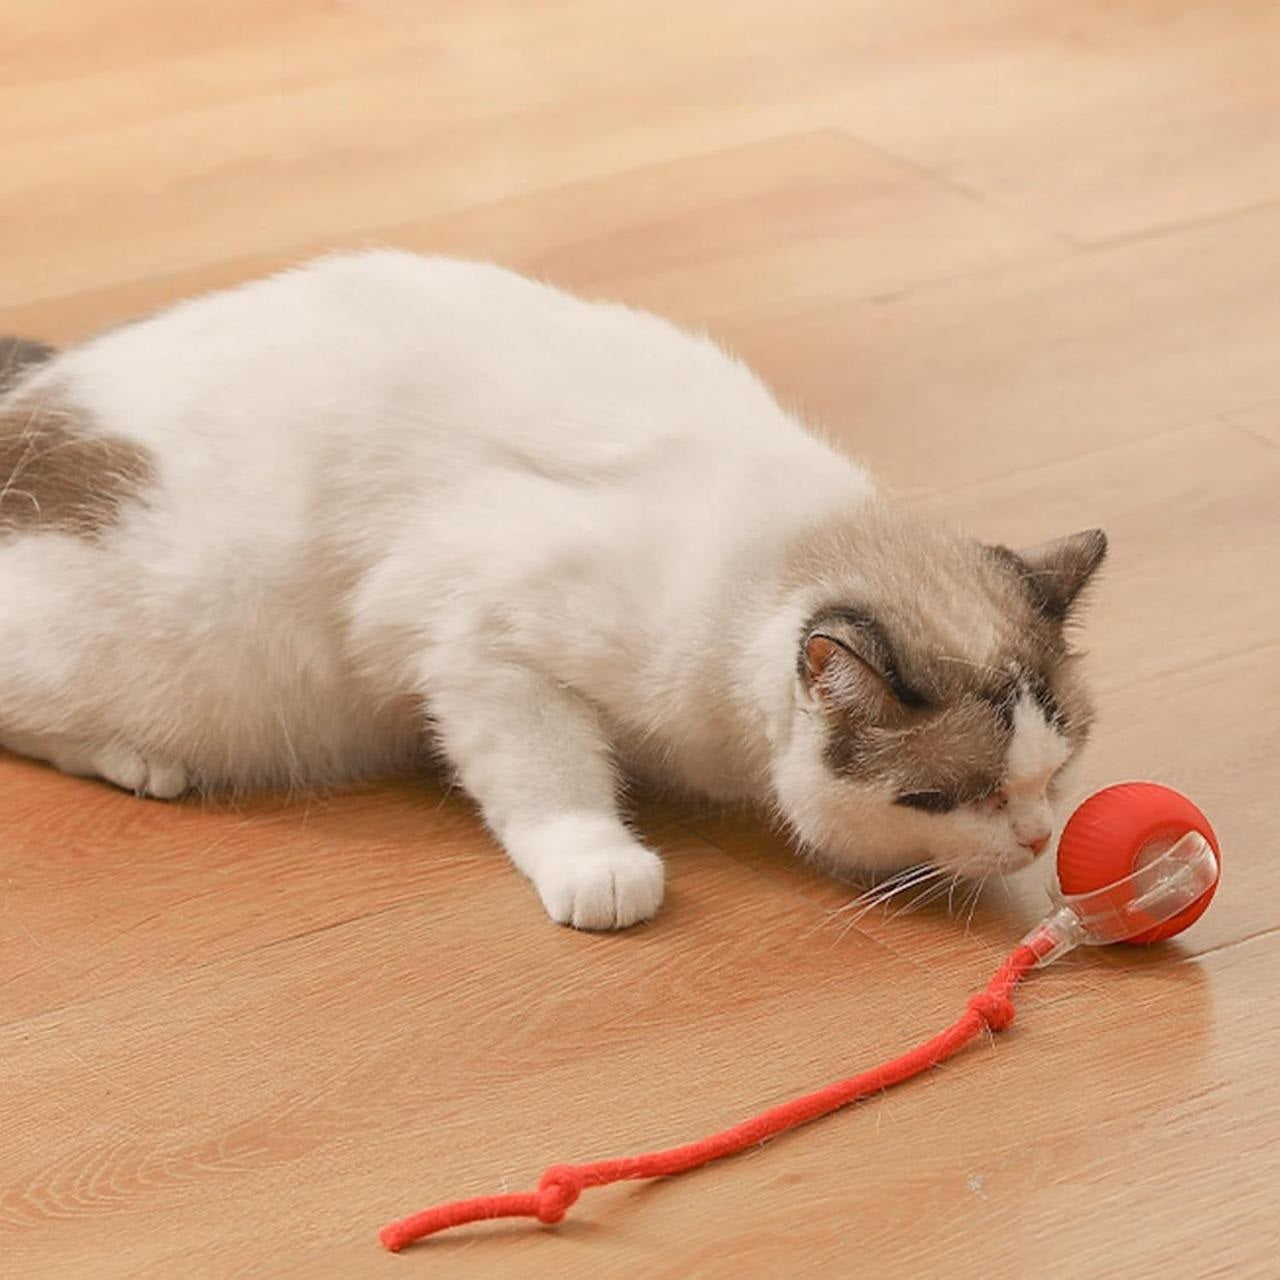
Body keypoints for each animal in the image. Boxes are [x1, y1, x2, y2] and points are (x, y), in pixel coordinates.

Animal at [0, 252, 1105, 931]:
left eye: (1053, 774)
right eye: (946, 797)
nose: (1034, 837)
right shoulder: (480, 646)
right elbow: (550, 779)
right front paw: (600, 867)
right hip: (184, 655)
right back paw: (141, 763)